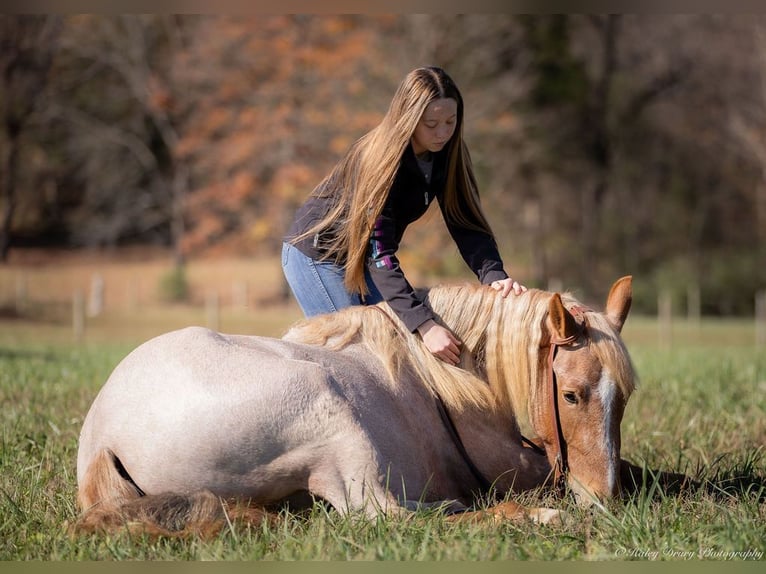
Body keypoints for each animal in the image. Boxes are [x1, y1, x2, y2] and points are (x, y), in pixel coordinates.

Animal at [75, 276, 640, 536]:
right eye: (571, 394)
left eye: (625, 398)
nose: (602, 500)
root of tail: (103, 430)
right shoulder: (513, 462)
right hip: (333, 420)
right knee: (384, 516)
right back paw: (527, 515)